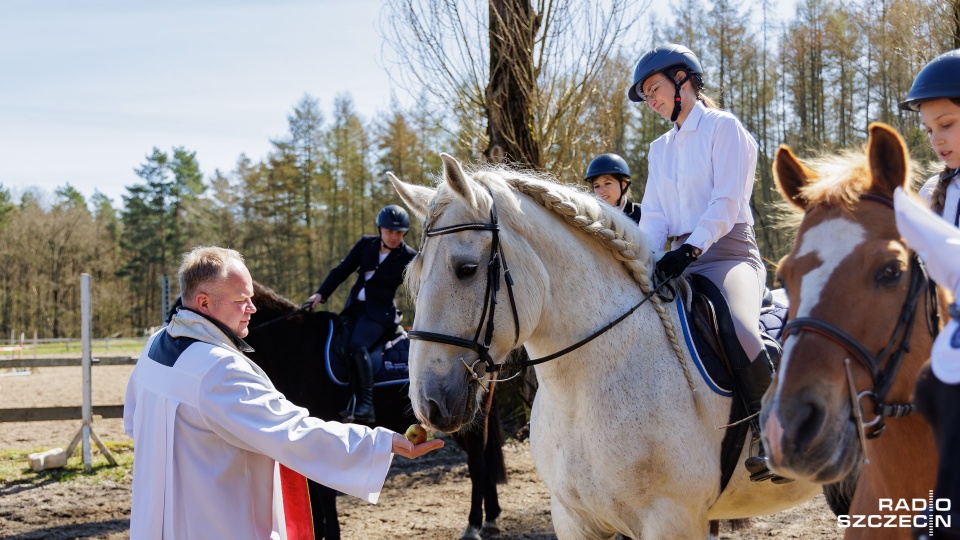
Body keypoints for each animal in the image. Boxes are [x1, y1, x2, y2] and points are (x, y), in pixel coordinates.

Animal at [244, 282, 506, 540]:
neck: (296, 347)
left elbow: (325, 492)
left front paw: (332, 534)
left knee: (477, 466)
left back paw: (473, 525)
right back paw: (491, 520)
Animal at [390, 154, 816, 536]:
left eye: (466, 269)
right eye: (415, 275)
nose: (428, 403)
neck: (582, 392)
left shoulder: (671, 520)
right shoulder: (573, 518)